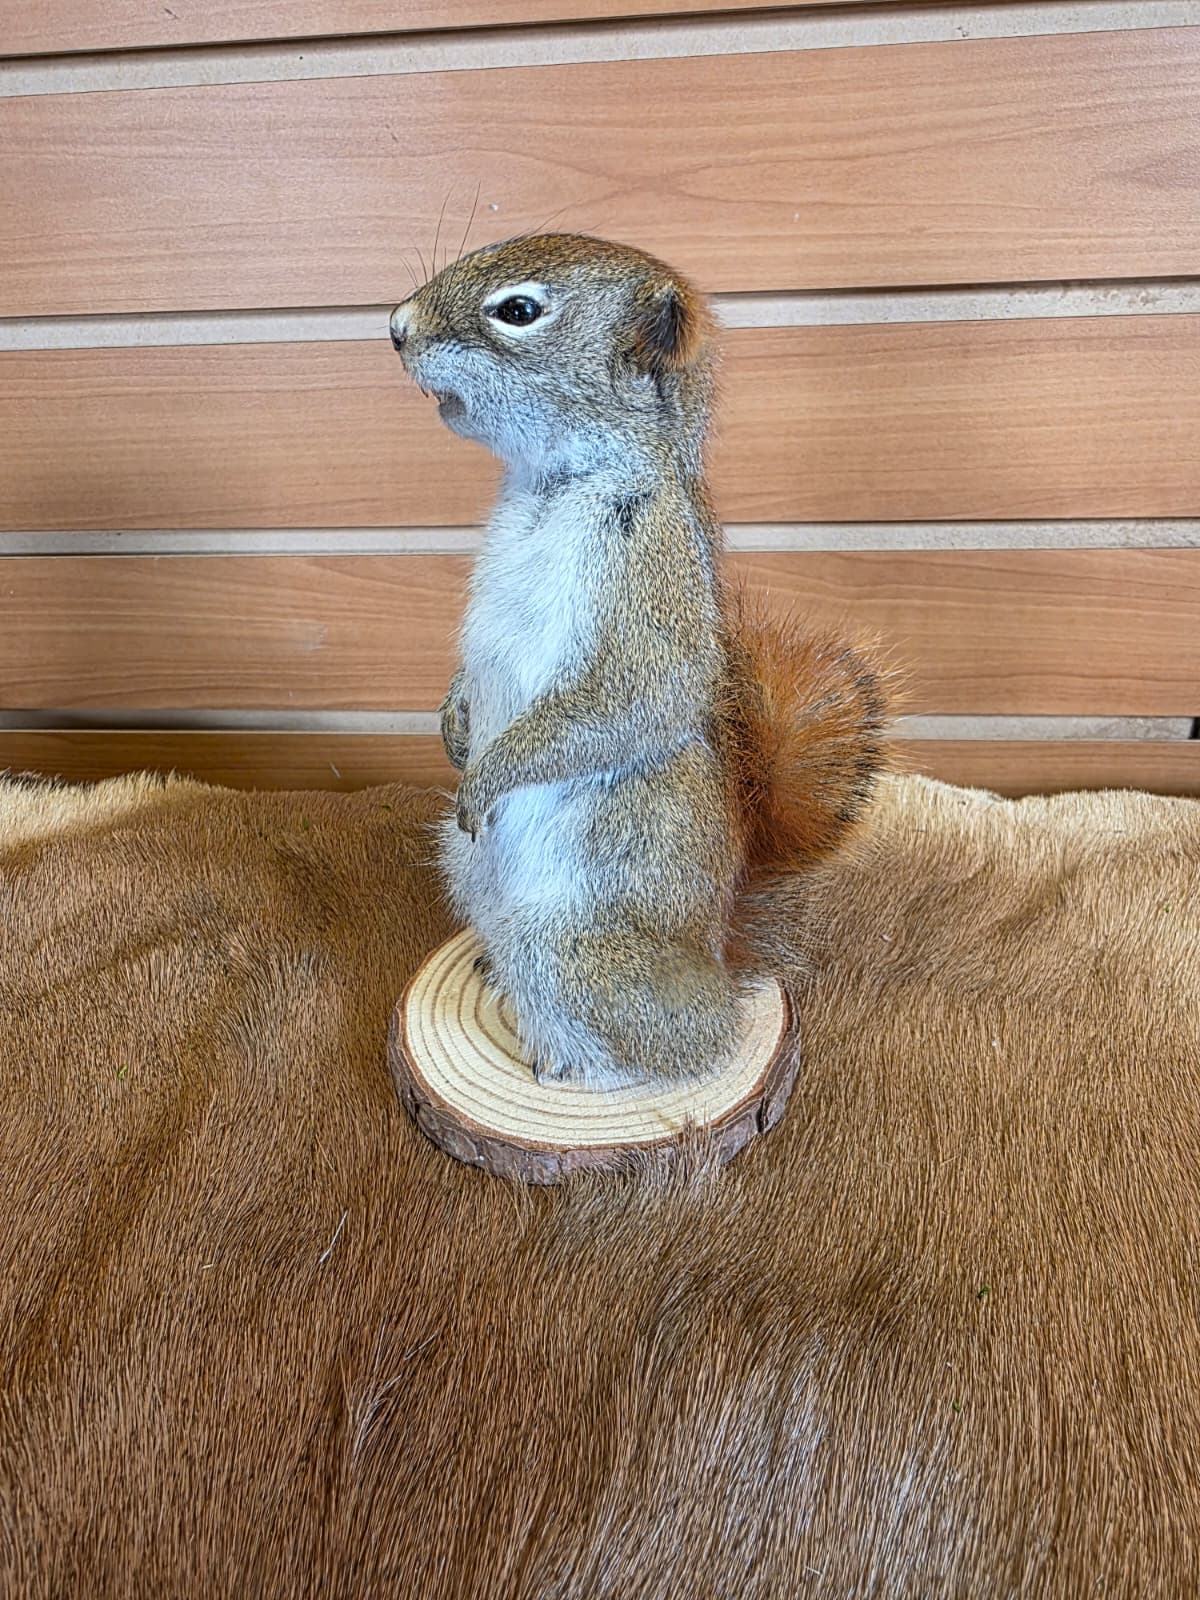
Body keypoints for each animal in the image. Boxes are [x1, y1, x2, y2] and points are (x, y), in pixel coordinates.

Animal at [389, 234, 885, 1091]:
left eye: (519, 310)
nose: (396, 327)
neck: (553, 484)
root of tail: (718, 962)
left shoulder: (648, 581)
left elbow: (637, 700)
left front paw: (485, 773)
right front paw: (452, 721)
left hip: (573, 946)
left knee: (681, 1050)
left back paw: (572, 1068)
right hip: (468, 871)